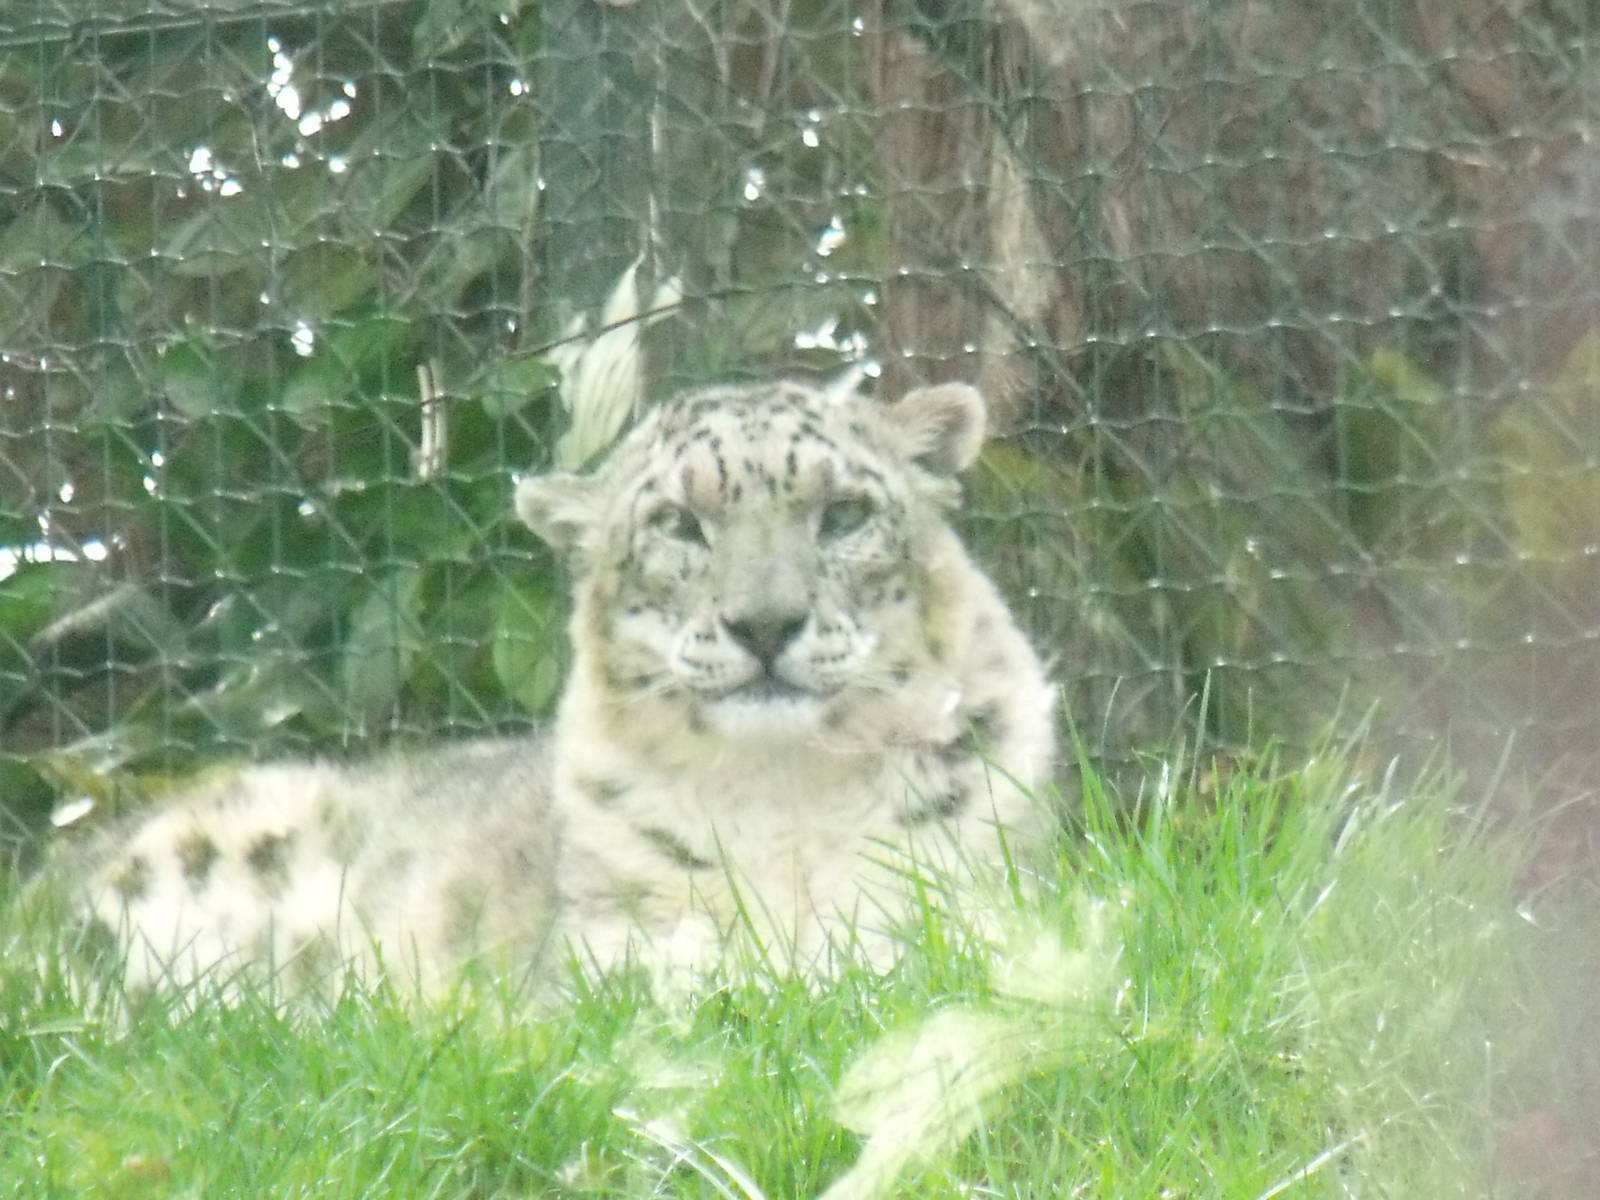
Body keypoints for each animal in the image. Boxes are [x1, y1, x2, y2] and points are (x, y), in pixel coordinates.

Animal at [56, 377, 1058, 999]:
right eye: (679, 523)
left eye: (844, 513)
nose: (766, 625)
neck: (787, 796)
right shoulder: (615, 954)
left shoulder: (978, 907)